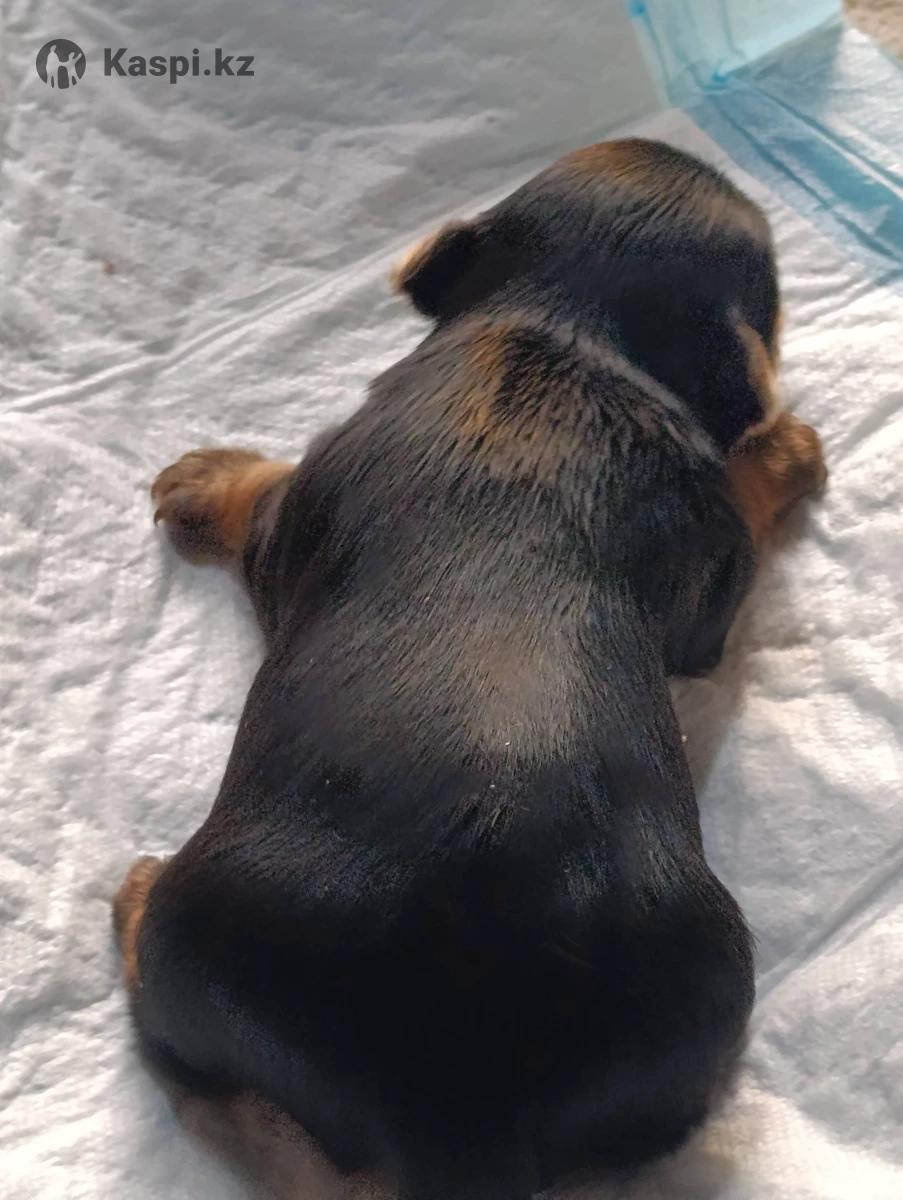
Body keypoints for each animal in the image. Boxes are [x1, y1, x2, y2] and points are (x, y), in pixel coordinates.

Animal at [115, 139, 826, 1200]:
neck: (567, 333)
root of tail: (458, 1093)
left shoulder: (301, 503)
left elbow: (263, 495)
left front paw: (200, 478)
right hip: (705, 992)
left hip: (197, 944)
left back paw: (132, 895)